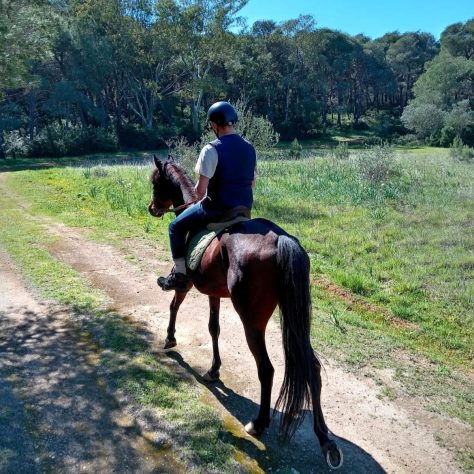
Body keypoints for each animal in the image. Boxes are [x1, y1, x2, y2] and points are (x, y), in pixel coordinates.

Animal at [146, 156, 342, 470]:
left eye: (156, 182)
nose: (152, 208)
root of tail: (281, 239)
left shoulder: (186, 283)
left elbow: (174, 305)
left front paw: (170, 338)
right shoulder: (214, 293)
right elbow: (214, 328)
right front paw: (213, 369)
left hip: (252, 320)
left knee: (267, 369)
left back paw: (258, 424)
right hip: (296, 318)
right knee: (310, 367)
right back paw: (325, 440)